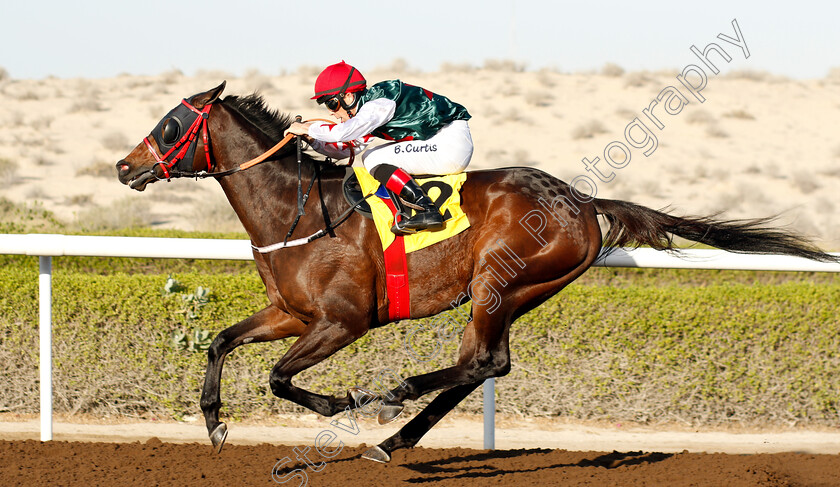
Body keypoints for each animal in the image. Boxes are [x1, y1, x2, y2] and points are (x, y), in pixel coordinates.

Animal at [116, 82, 832, 464]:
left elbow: (279, 378)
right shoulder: (293, 313)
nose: (125, 166)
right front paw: (214, 423)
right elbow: (221, 342)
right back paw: (395, 437)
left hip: (499, 281)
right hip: (515, 293)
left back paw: (394, 399)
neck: (295, 209)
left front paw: (348, 401)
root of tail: (582, 201)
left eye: (171, 124)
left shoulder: (343, 321)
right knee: (480, 365)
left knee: (484, 363)